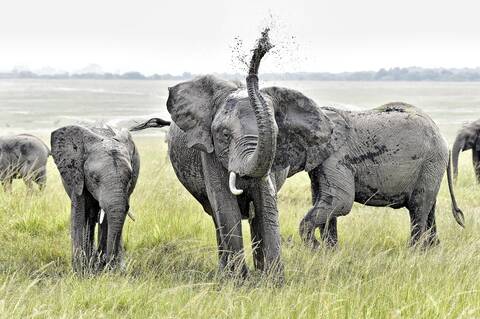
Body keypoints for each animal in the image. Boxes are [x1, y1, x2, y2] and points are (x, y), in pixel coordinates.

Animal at [51, 126, 140, 274]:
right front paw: (80, 272)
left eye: (129, 180)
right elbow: (79, 214)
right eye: (95, 179)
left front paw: (103, 268)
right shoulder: (77, 174)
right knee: (90, 216)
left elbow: (108, 220)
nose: (109, 264)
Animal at [300, 105, 464, 250]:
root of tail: (443, 138)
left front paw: (318, 248)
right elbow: (324, 200)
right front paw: (329, 252)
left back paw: (414, 253)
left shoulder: (337, 156)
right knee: (429, 208)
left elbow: (340, 201)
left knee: (418, 206)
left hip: (430, 163)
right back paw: (432, 250)